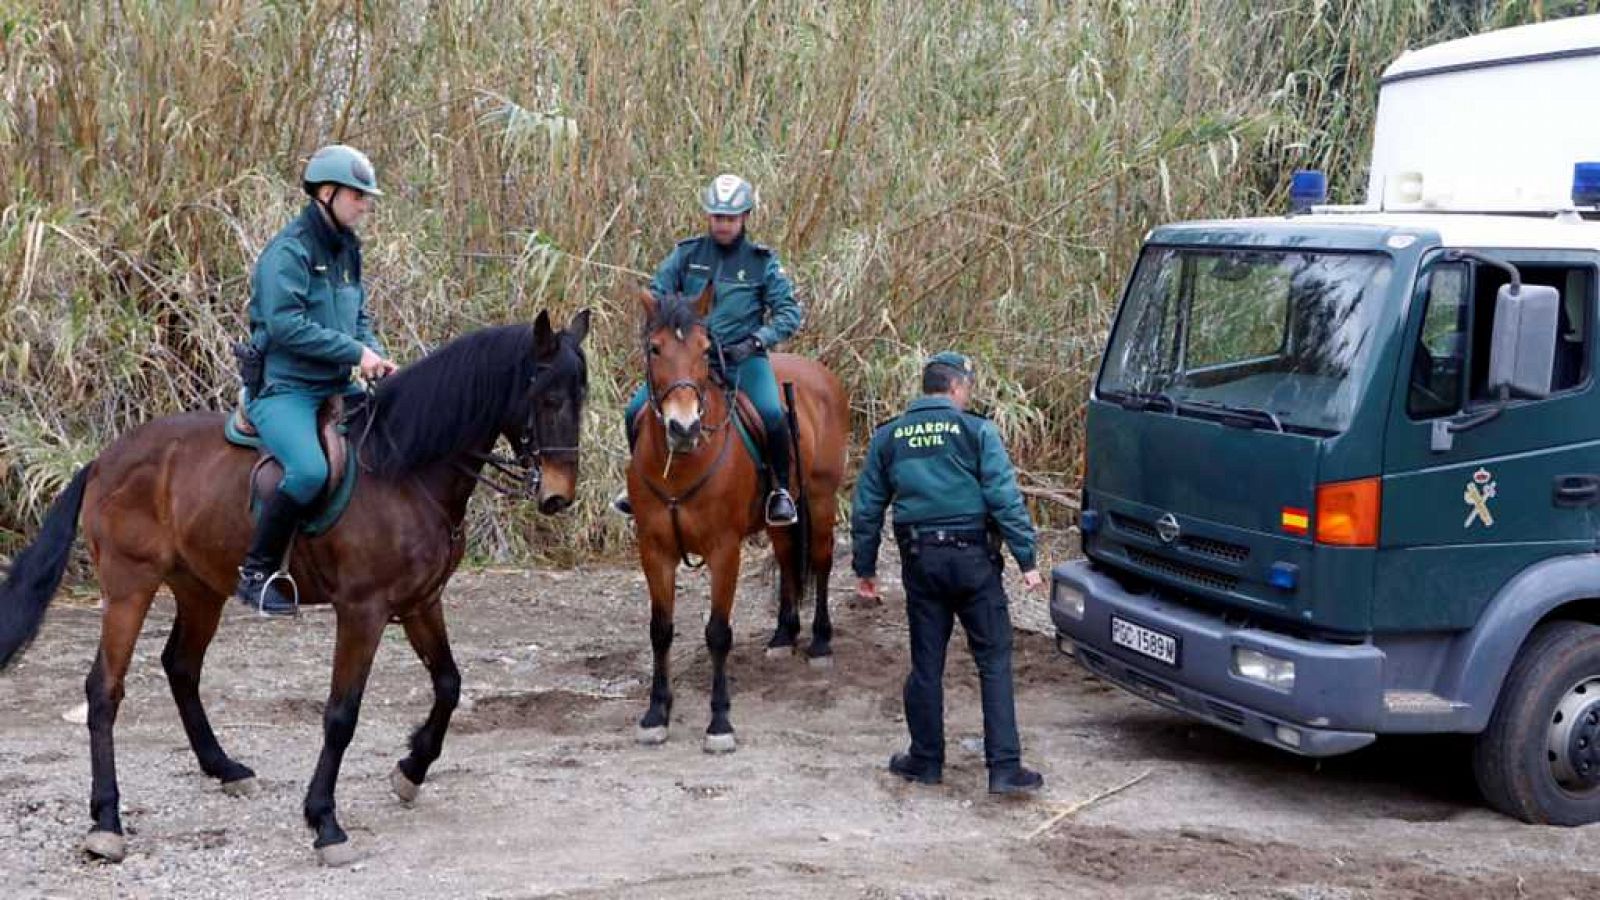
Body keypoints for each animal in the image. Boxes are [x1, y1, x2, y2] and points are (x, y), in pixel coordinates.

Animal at [0, 307, 595, 864]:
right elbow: (341, 714)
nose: (558, 497)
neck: (406, 472)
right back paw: (106, 823)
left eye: (580, 396)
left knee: (181, 667)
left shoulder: (422, 601)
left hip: (200, 587)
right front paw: (325, 821)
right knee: (105, 690)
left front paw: (411, 768)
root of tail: (104, 459)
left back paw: (224, 768)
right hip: (129, 586)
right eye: (545, 397)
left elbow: (449, 684)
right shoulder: (362, 611)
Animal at [624, 286, 851, 749]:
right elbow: (660, 629)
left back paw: (820, 643)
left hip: (822, 499)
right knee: (788, 560)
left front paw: (720, 722)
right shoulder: (654, 549)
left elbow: (717, 633)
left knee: (820, 563)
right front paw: (656, 713)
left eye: (705, 348)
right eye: (655, 348)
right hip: (783, 518)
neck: (681, 462)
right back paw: (783, 636)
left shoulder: (724, 550)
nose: (683, 427)